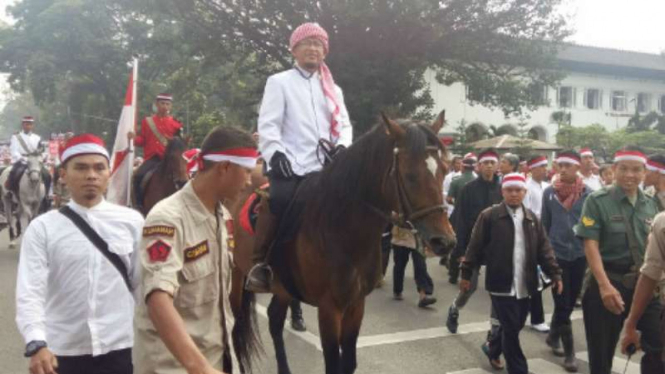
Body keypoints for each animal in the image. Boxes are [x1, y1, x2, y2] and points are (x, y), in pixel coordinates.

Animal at [230, 112, 456, 374]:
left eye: (444, 170)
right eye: (410, 175)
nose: (444, 240)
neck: (343, 230)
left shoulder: (356, 304)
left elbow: (348, 362)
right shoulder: (330, 308)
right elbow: (333, 363)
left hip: (283, 286)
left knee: (275, 320)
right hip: (237, 275)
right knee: (236, 324)